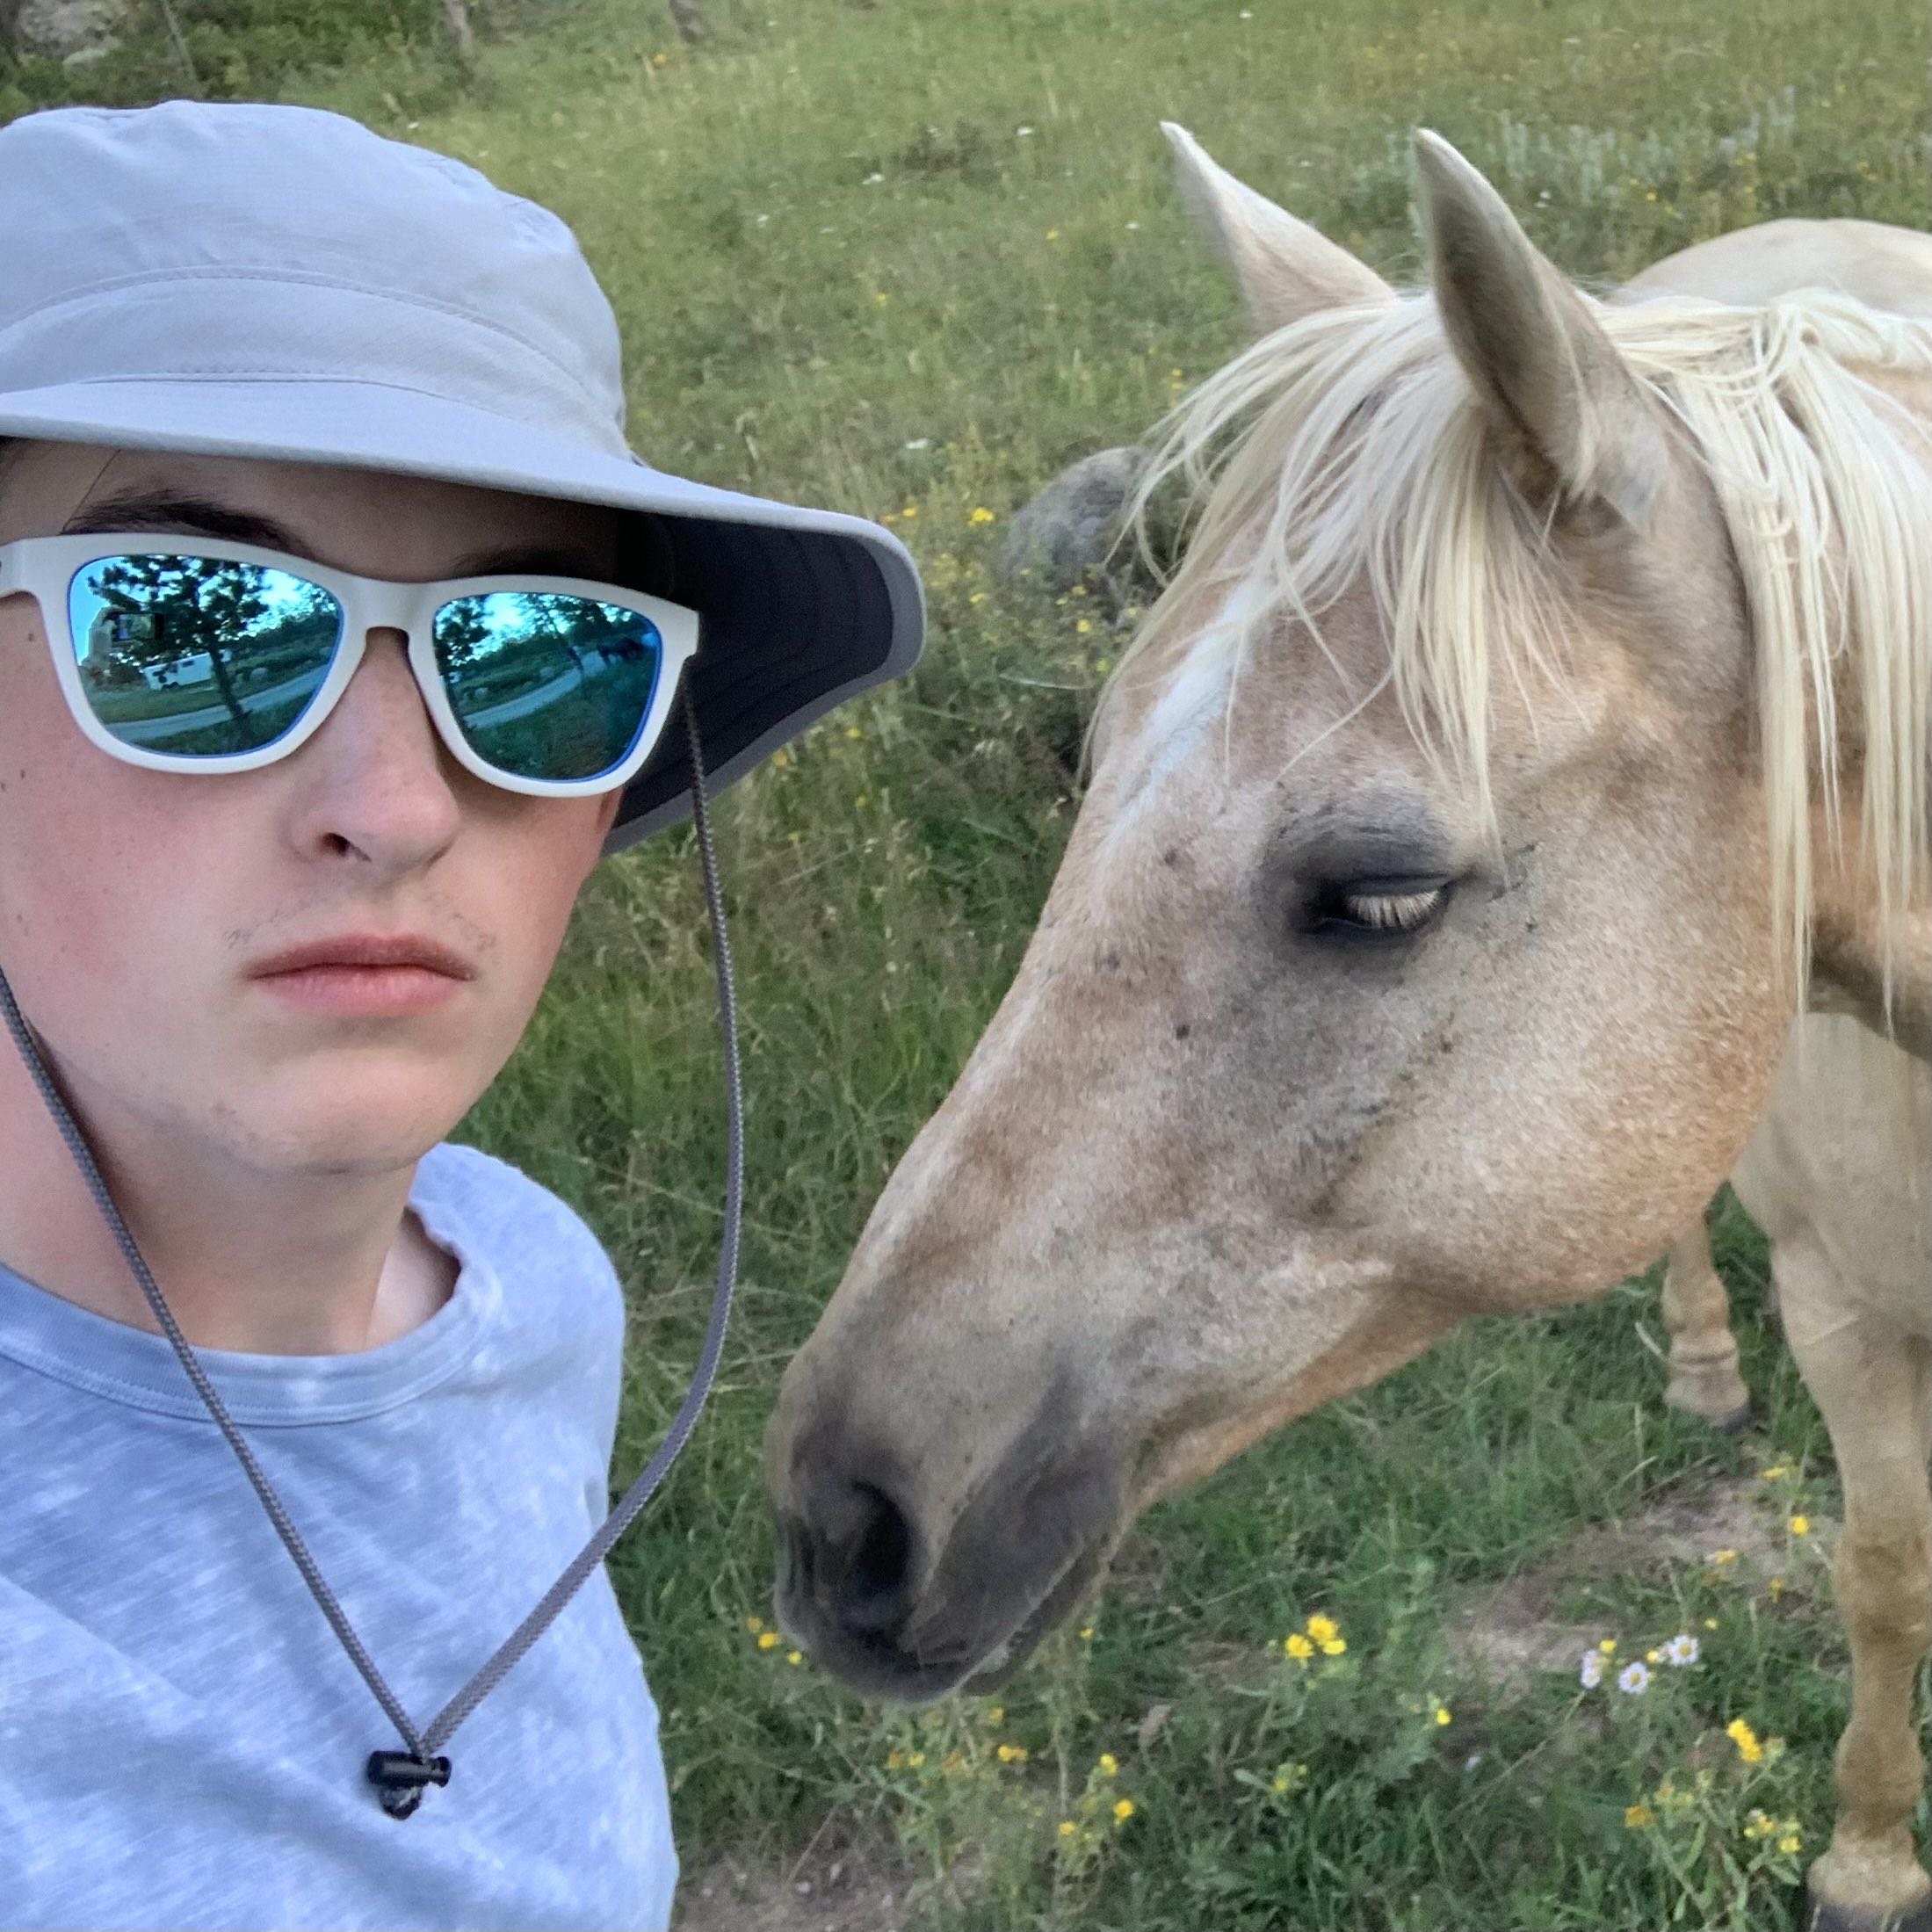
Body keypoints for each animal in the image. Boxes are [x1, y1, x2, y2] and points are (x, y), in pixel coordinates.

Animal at [766, 124, 1932, 1931]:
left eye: (1379, 890)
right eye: (1090, 762)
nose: (843, 1517)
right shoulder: (1838, 1301)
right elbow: (1884, 1575)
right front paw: (1870, 1857)